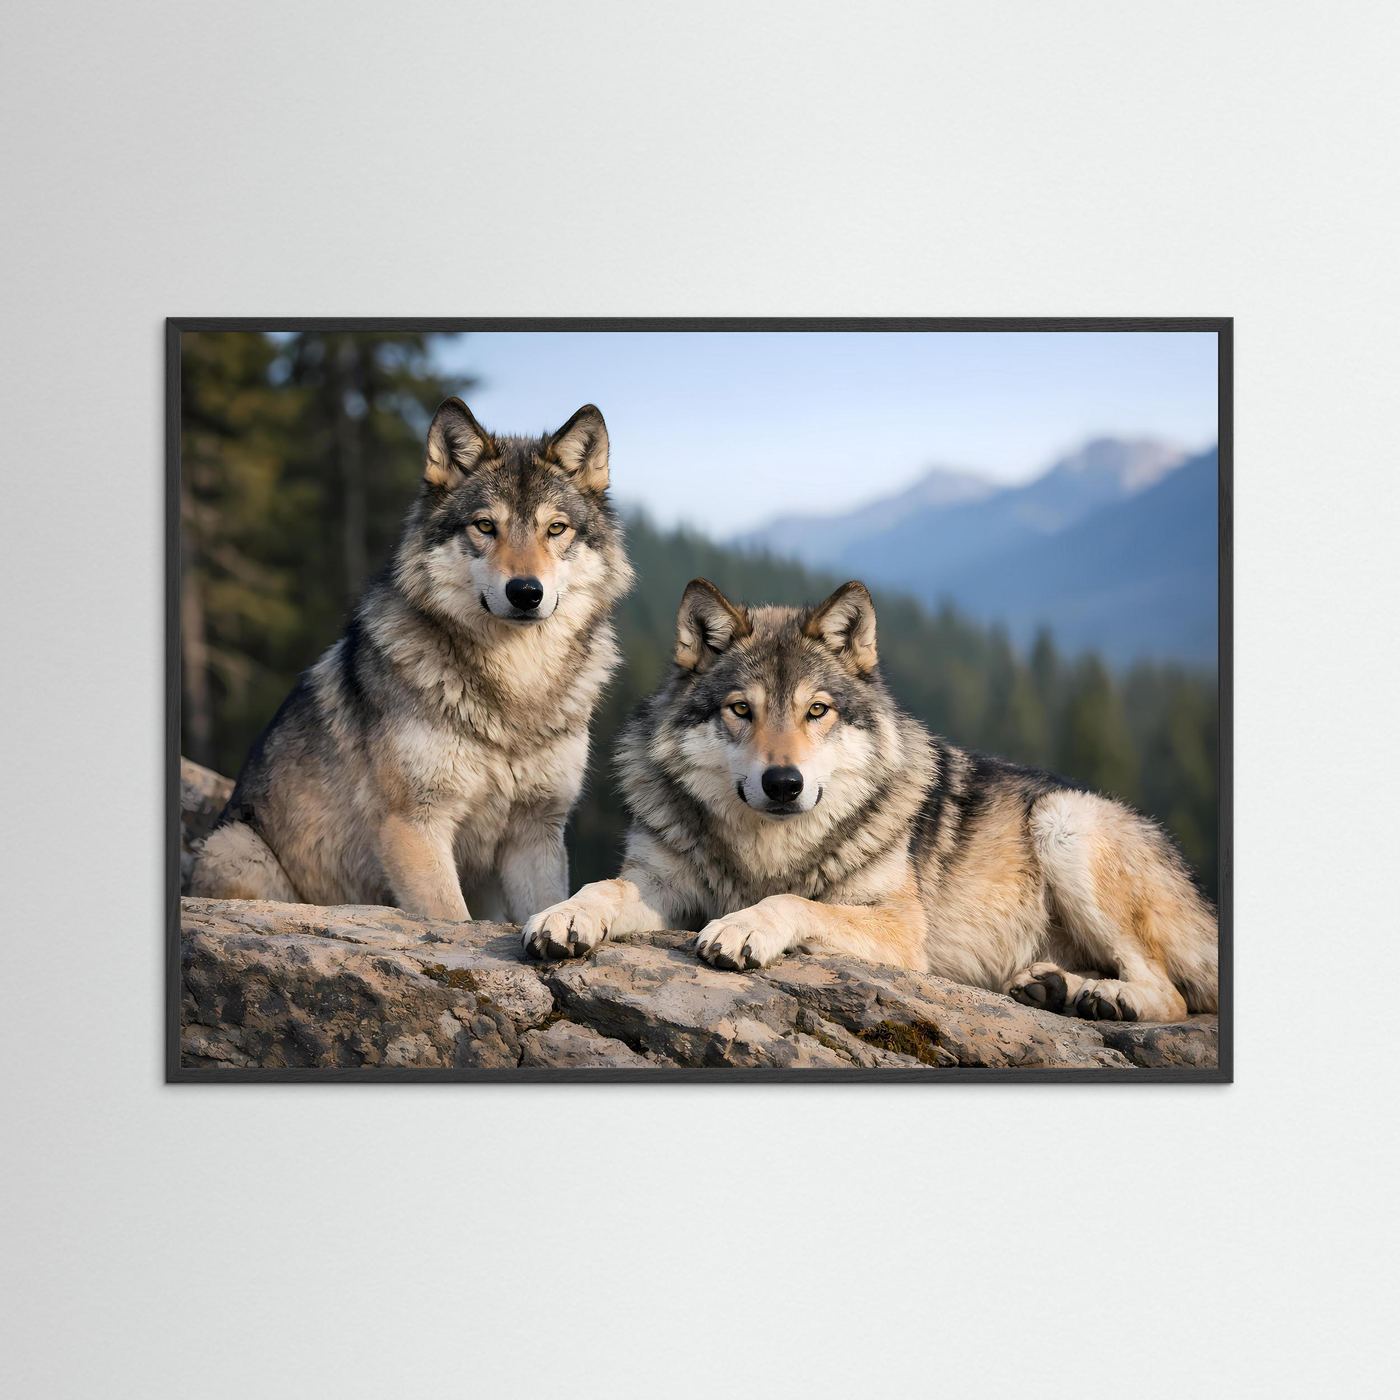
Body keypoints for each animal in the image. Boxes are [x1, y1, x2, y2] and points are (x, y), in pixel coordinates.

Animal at [192, 399, 633, 922]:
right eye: (486, 526)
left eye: (556, 529)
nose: (526, 592)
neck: (516, 685)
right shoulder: (415, 824)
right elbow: (449, 916)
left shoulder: (536, 833)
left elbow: (542, 906)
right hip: (235, 847)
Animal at [522, 578, 1218, 1023]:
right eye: (741, 710)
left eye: (817, 711)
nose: (784, 783)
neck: (764, 850)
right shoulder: (663, 887)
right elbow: (604, 887)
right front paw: (563, 915)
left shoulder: (901, 931)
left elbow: (795, 901)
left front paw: (745, 926)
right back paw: (1052, 987)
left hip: (1064, 821)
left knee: (1174, 993)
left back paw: (1104, 999)